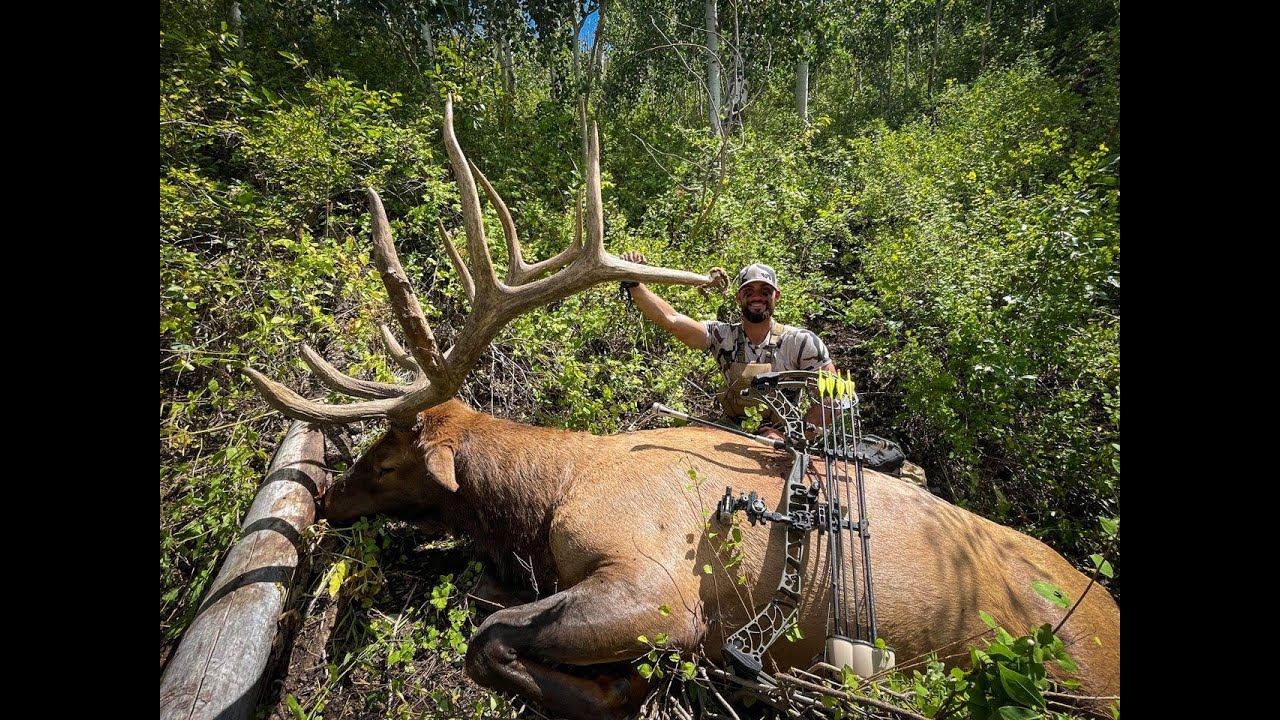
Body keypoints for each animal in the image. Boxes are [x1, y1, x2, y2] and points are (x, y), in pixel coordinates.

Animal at [245, 99, 1120, 720]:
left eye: (388, 452)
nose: (329, 497)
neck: (547, 494)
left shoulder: (659, 587)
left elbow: (487, 638)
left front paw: (630, 687)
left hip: (1077, 668)